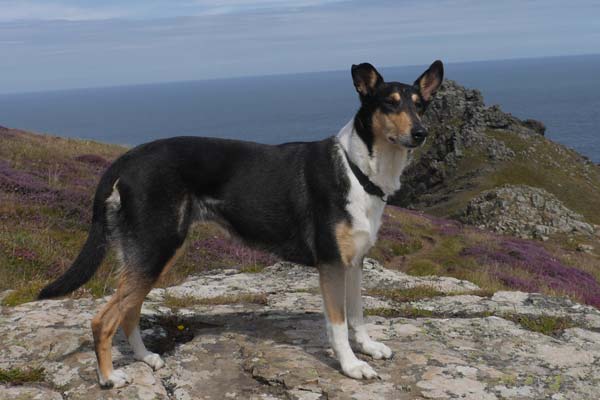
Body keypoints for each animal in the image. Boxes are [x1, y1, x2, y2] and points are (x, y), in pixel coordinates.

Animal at [36, 61, 440, 390]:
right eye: (390, 103)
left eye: (420, 105)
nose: (421, 133)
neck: (359, 170)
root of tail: (128, 157)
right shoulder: (330, 264)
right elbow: (339, 324)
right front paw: (352, 366)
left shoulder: (353, 263)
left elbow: (357, 315)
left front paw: (368, 348)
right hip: (155, 248)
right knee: (103, 319)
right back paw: (109, 378)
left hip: (152, 253)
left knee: (129, 310)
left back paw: (145, 357)